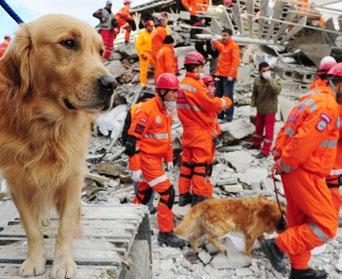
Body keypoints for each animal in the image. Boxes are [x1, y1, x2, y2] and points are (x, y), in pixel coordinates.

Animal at [0, 14, 116, 278]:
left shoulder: (71, 175)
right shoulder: (16, 181)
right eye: (69, 43)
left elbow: (65, 227)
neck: (45, 125)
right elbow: (31, 228)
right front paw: (35, 260)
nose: (111, 84)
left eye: (100, 51)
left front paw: (63, 263)